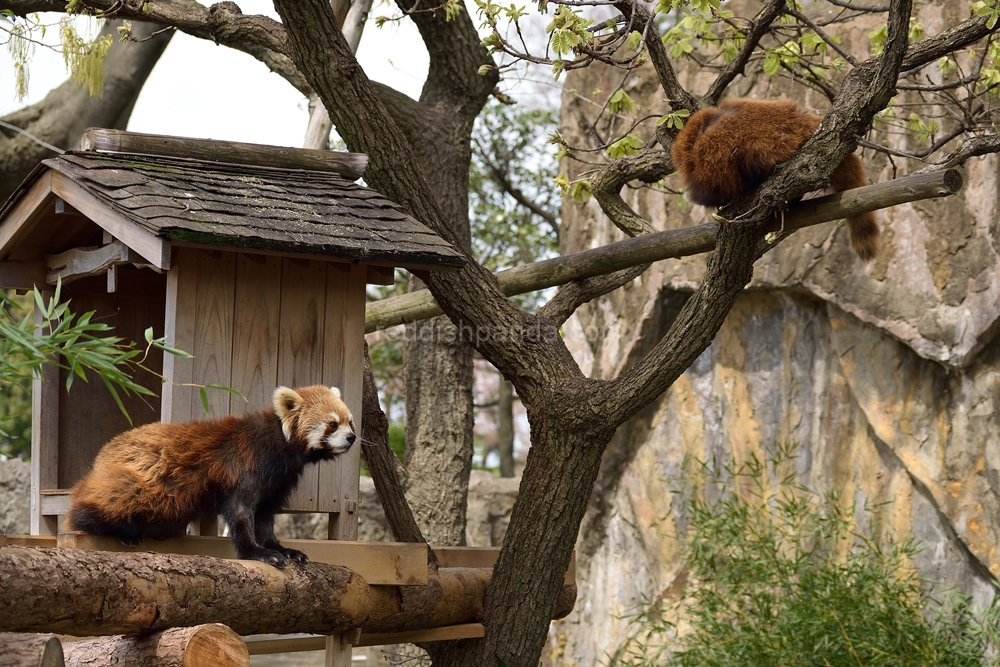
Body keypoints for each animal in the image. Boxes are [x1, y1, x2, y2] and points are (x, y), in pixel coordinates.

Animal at [67, 384, 356, 568]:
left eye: (350, 421)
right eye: (332, 424)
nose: (352, 437)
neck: (279, 447)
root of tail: (104, 452)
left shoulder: (278, 482)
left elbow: (265, 516)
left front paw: (282, 549)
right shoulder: (245, 467)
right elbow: (240, 512)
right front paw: (257, 553)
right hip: (139, 481)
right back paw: (121, 530)